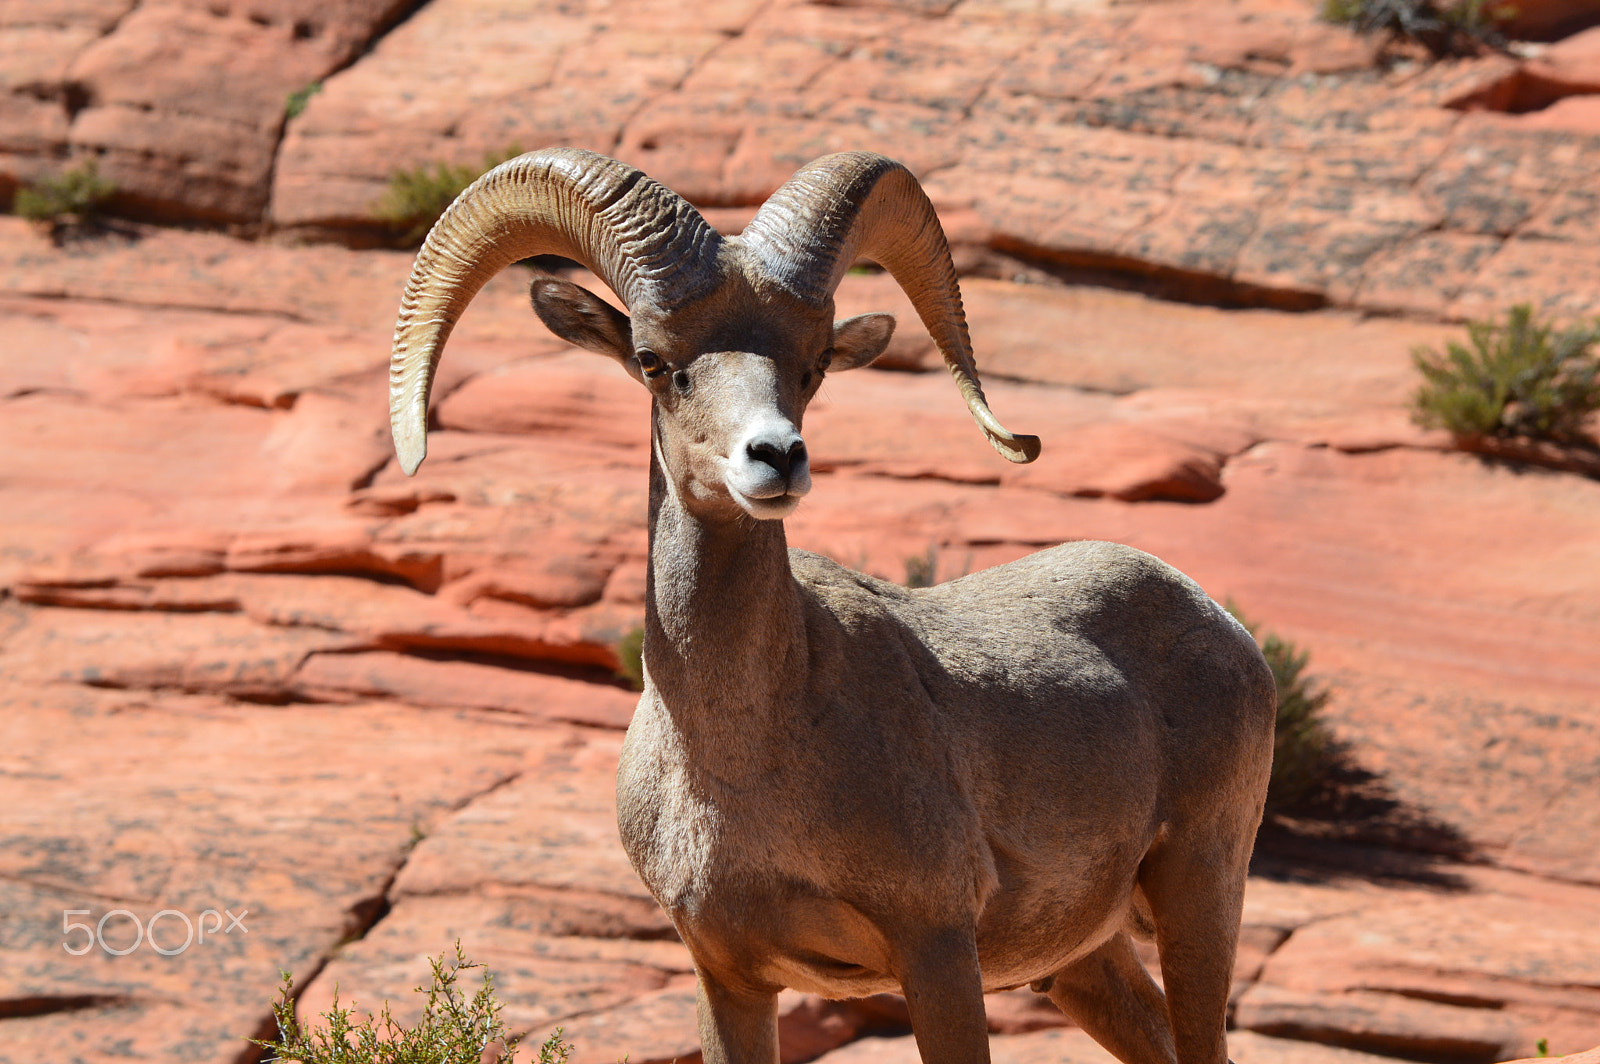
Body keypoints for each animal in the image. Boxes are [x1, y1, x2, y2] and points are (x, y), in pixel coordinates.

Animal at [388, 147, 1277, 1064]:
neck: (742, 759)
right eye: (653, 360)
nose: (776, 457)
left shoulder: (937, 949)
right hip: (1082, 961)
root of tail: (1223, 625)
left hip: (1199, 891)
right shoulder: (728, 976)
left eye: (811, 364)